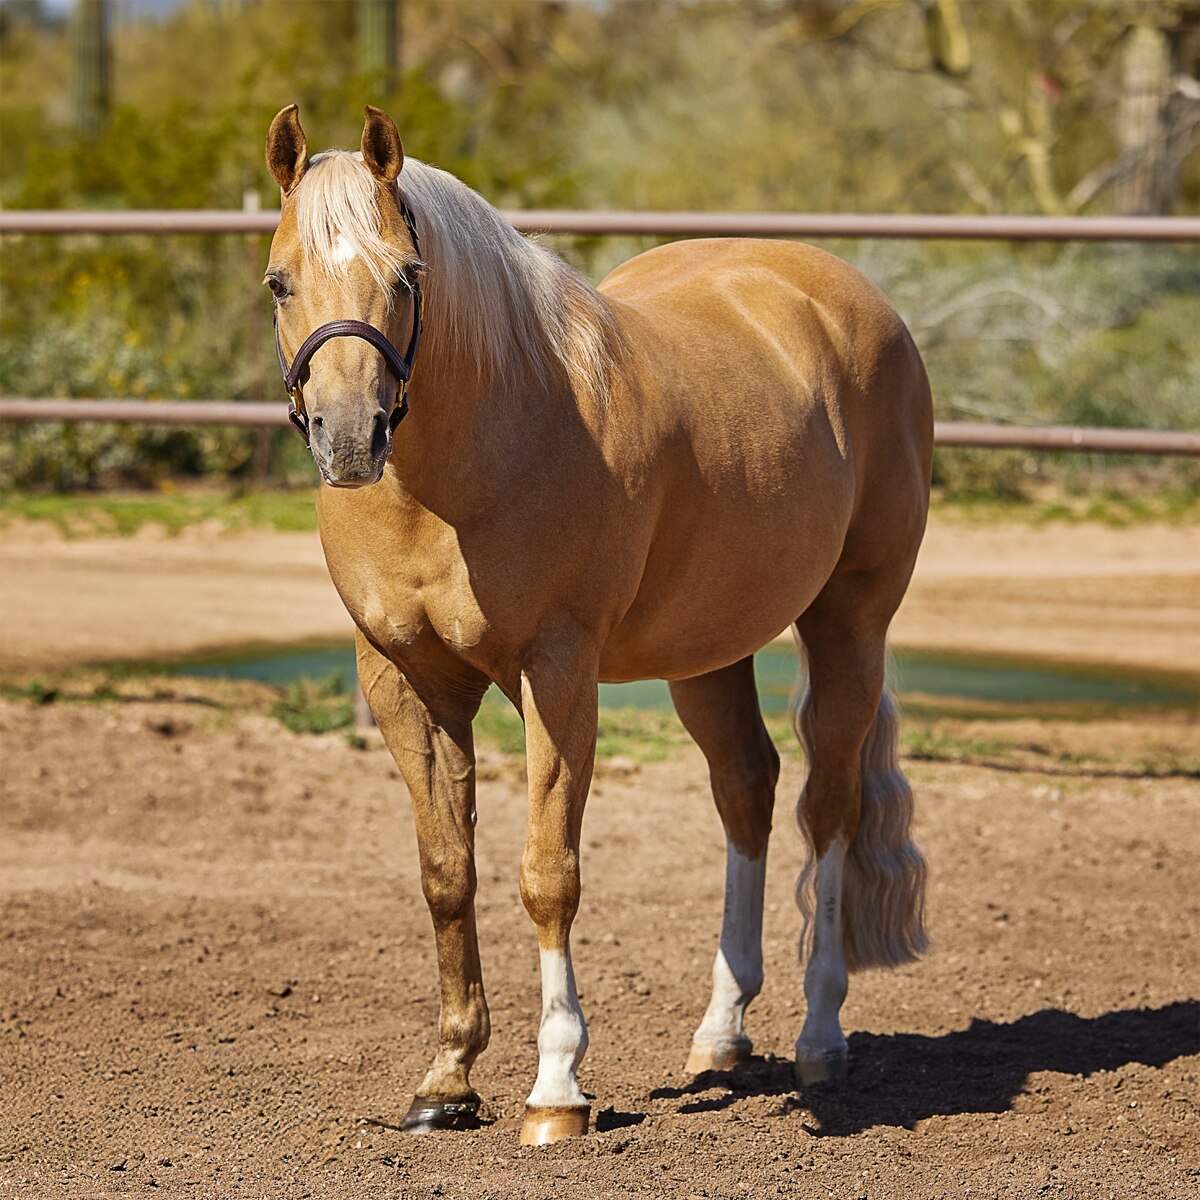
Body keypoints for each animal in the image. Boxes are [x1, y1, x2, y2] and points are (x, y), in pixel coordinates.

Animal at [264, 104, 931, 1147]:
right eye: (279, 281)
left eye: (407, 275)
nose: (348, 436)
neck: (474, 457)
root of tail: (853, 302)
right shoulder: (404, 680)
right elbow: (446, 871)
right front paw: (448, 1079)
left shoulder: (557, 671)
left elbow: (548, 872)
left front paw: (556, 1088)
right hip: (709, 651)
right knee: (747, 790)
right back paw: (720, 1036)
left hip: (851, 619)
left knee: (828, 806)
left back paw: (821, 1037)